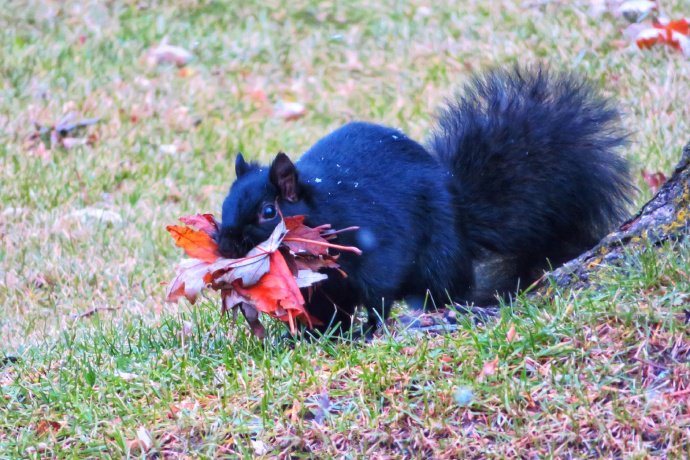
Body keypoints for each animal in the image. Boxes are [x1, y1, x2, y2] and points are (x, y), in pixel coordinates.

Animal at [215, 66, 628, 334]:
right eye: (225, 203)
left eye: (269, 212)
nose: (226, 245)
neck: (323, 210)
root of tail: (462, 211)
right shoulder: (319, 288)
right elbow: (325, 311)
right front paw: (310, 335)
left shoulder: (375, 250)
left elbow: (378, 294)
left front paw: (370, 329)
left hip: (438, 258)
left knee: (442, 291)